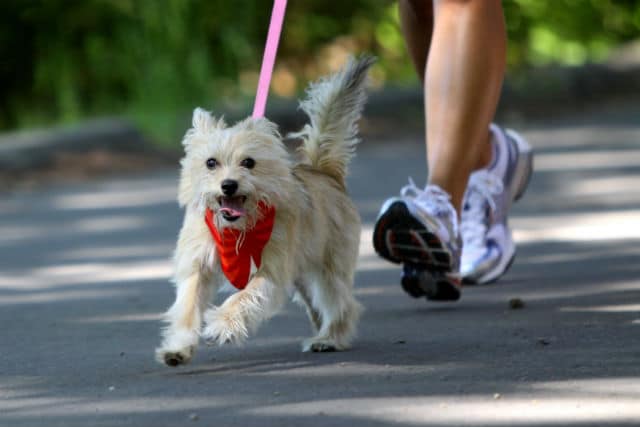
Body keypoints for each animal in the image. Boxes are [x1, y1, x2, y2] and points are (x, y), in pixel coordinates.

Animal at [156, 55, 376, 366]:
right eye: (211, 163)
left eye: (248, 163)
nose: (228, 185)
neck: (237, 230)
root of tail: (324, 171)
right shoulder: (198, 266)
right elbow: (187, 307)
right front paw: (179, 346)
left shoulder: (270, 272)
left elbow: (244, 297)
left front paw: (223, 323)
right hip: (303, 276)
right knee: (320, 305)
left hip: (327, 271)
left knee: (342, 304)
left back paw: (329, 338)